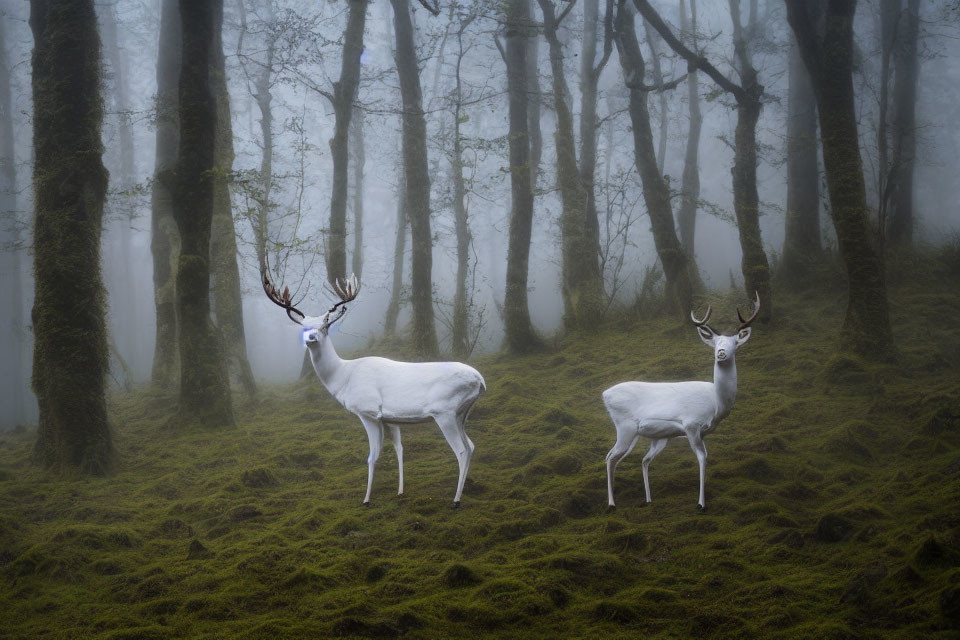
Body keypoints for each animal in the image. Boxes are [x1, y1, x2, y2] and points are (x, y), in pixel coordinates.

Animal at [260, 264, 484, 504]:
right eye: (303, 326)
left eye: (325, 324)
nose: (311, 337)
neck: (343, 376)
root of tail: (481, 381)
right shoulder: (391, 418)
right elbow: (399, 449)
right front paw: (400, 491)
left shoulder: (367, 411)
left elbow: (372, 456)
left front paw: (366, 498)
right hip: (462, 413)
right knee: (471, 446)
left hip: (445, 411)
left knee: (461, 450)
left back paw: (456, 499)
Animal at [604, 294, 760, 510]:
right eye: (716, 343)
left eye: (734, 343)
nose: (720, 353)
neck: (716, 405)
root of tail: (605, 395)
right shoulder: (691, 424)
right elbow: (702, 458)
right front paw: (701, 503)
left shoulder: (701, 432)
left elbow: (705, 457)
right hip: (625, 427)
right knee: (610, 457)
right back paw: (611, 503)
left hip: (655, 437)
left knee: (640, 459)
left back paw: (648, 499)